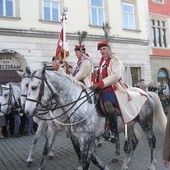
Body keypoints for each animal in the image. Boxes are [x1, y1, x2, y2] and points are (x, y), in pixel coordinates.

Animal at [24, 66, 167, 170]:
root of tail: (146, 93)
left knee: (152, 142)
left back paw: (152, 165)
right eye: (26, 85)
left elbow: (86, 161)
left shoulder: (86, 138)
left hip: (146, 123)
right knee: (133, 143)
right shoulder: (76, 136)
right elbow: (45, 152)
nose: (27, 110)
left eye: (33, 87)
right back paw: (125, 164)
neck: (78, 104)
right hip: (130, 124)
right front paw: (104, 166)